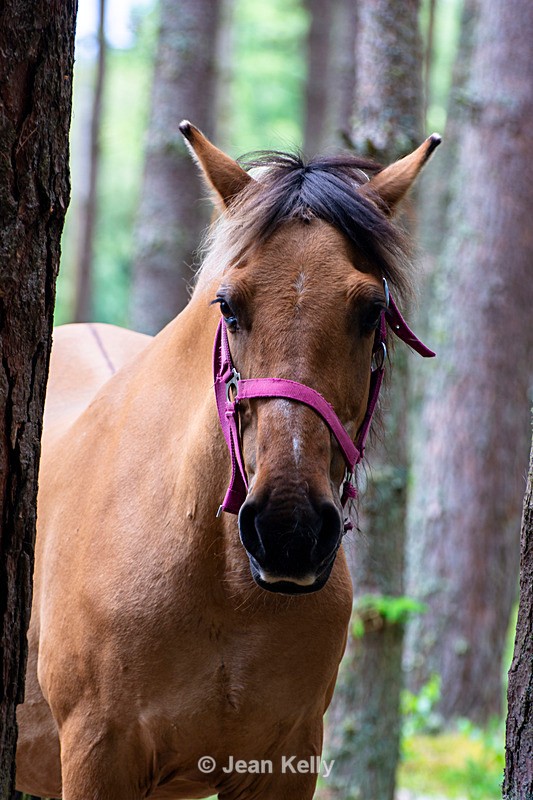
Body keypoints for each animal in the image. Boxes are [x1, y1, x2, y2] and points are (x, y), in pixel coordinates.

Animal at [15, 122, 439, 800]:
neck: (219, 580)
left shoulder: (285, 758)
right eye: (230, 306)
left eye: (371, 311)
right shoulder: (96, 752)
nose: (289, 530)